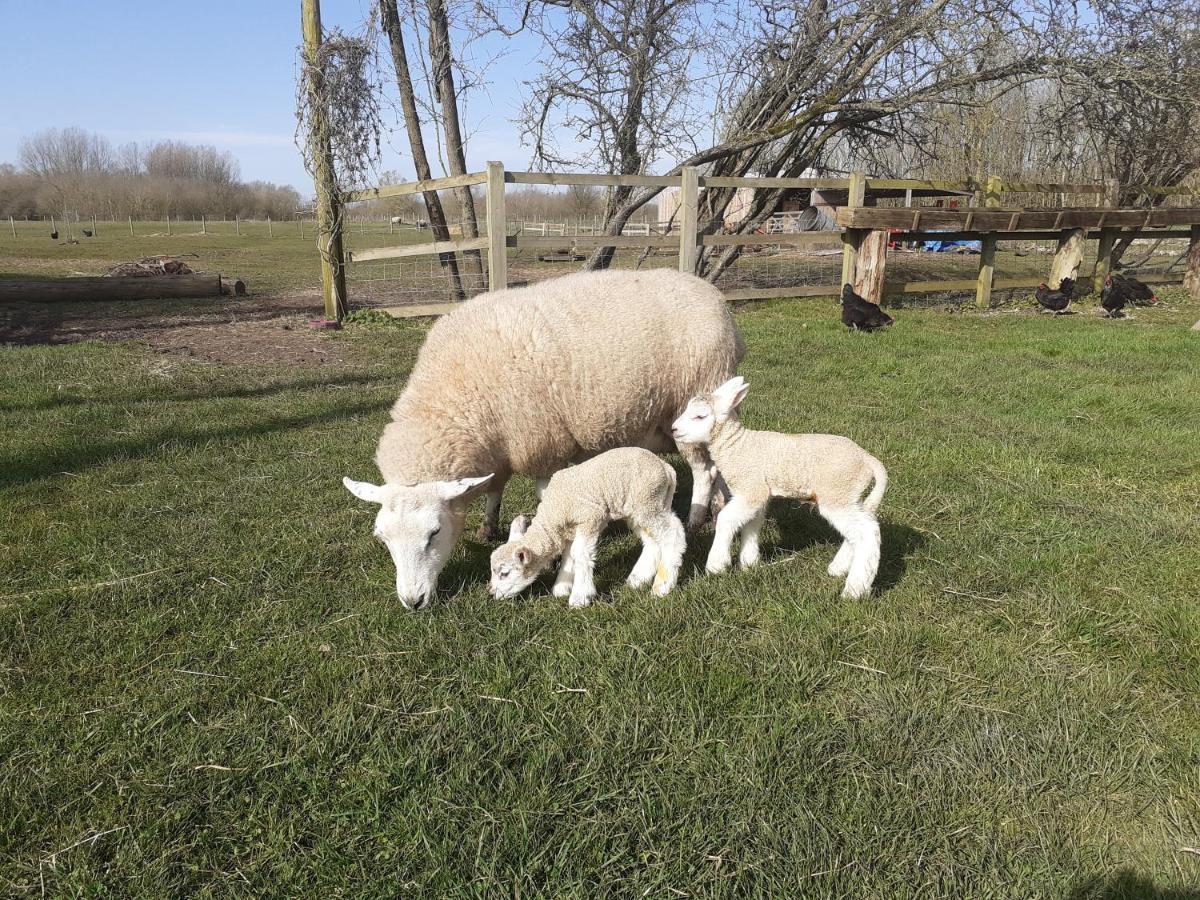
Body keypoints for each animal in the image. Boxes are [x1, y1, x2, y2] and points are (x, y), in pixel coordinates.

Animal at [484, 448, 686, 609]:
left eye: (504, 573)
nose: (491, 594)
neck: (553, 511)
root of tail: (666, 468)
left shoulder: (590, 517)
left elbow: (579, 553)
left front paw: (580, 596)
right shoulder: (569, 529)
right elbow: (568, 555)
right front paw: (562, 587)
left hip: (647, 499)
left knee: (673, 533)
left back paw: (662, 586)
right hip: (643, 506)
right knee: (653, 541)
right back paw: (637, 579)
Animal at [672, 376, 888, 602]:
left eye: (700, 416)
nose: (673, 429)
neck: (737, 446)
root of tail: (867, 459)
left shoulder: (751, 488)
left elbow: (726, 519)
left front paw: (716, 565)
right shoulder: (758, 491)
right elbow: (753, 523)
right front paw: (749, 562)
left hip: (837, 492)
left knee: (867, 532)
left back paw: (854, 590)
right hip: (850, 496)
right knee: (859, 530)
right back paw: (839, 568)